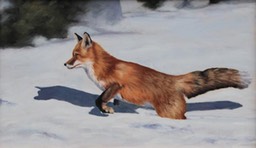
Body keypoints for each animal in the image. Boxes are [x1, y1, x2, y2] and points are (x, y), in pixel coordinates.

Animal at [65, 32, 251, 119]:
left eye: (76, 55)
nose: (65, 64)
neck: (102, 66)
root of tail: (174, 79)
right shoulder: (115, 92)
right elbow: (112, 101)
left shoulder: (116, 84)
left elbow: (98, 100)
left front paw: (106, 110)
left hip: (168, 113)